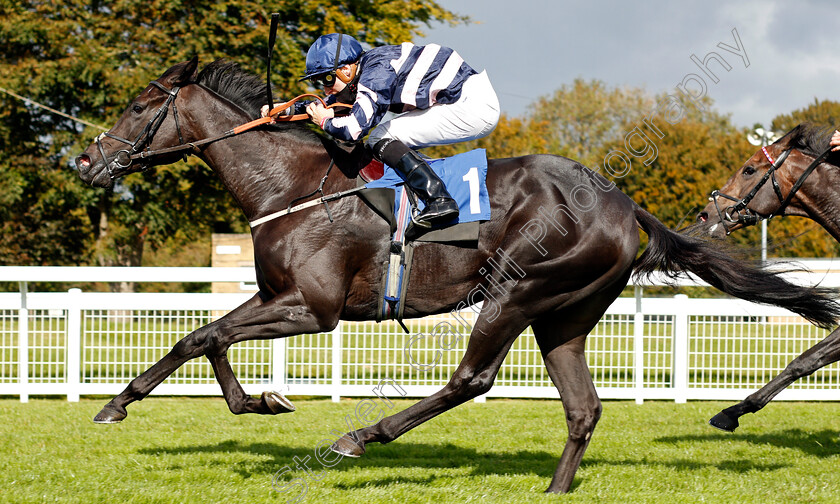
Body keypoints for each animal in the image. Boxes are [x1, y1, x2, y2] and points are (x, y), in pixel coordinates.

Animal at [688, 123, 840, 434]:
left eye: (748, 169)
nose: (704, 215)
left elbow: (808, 359)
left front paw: (731, 411)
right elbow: (807, 359)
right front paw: (734, 410)